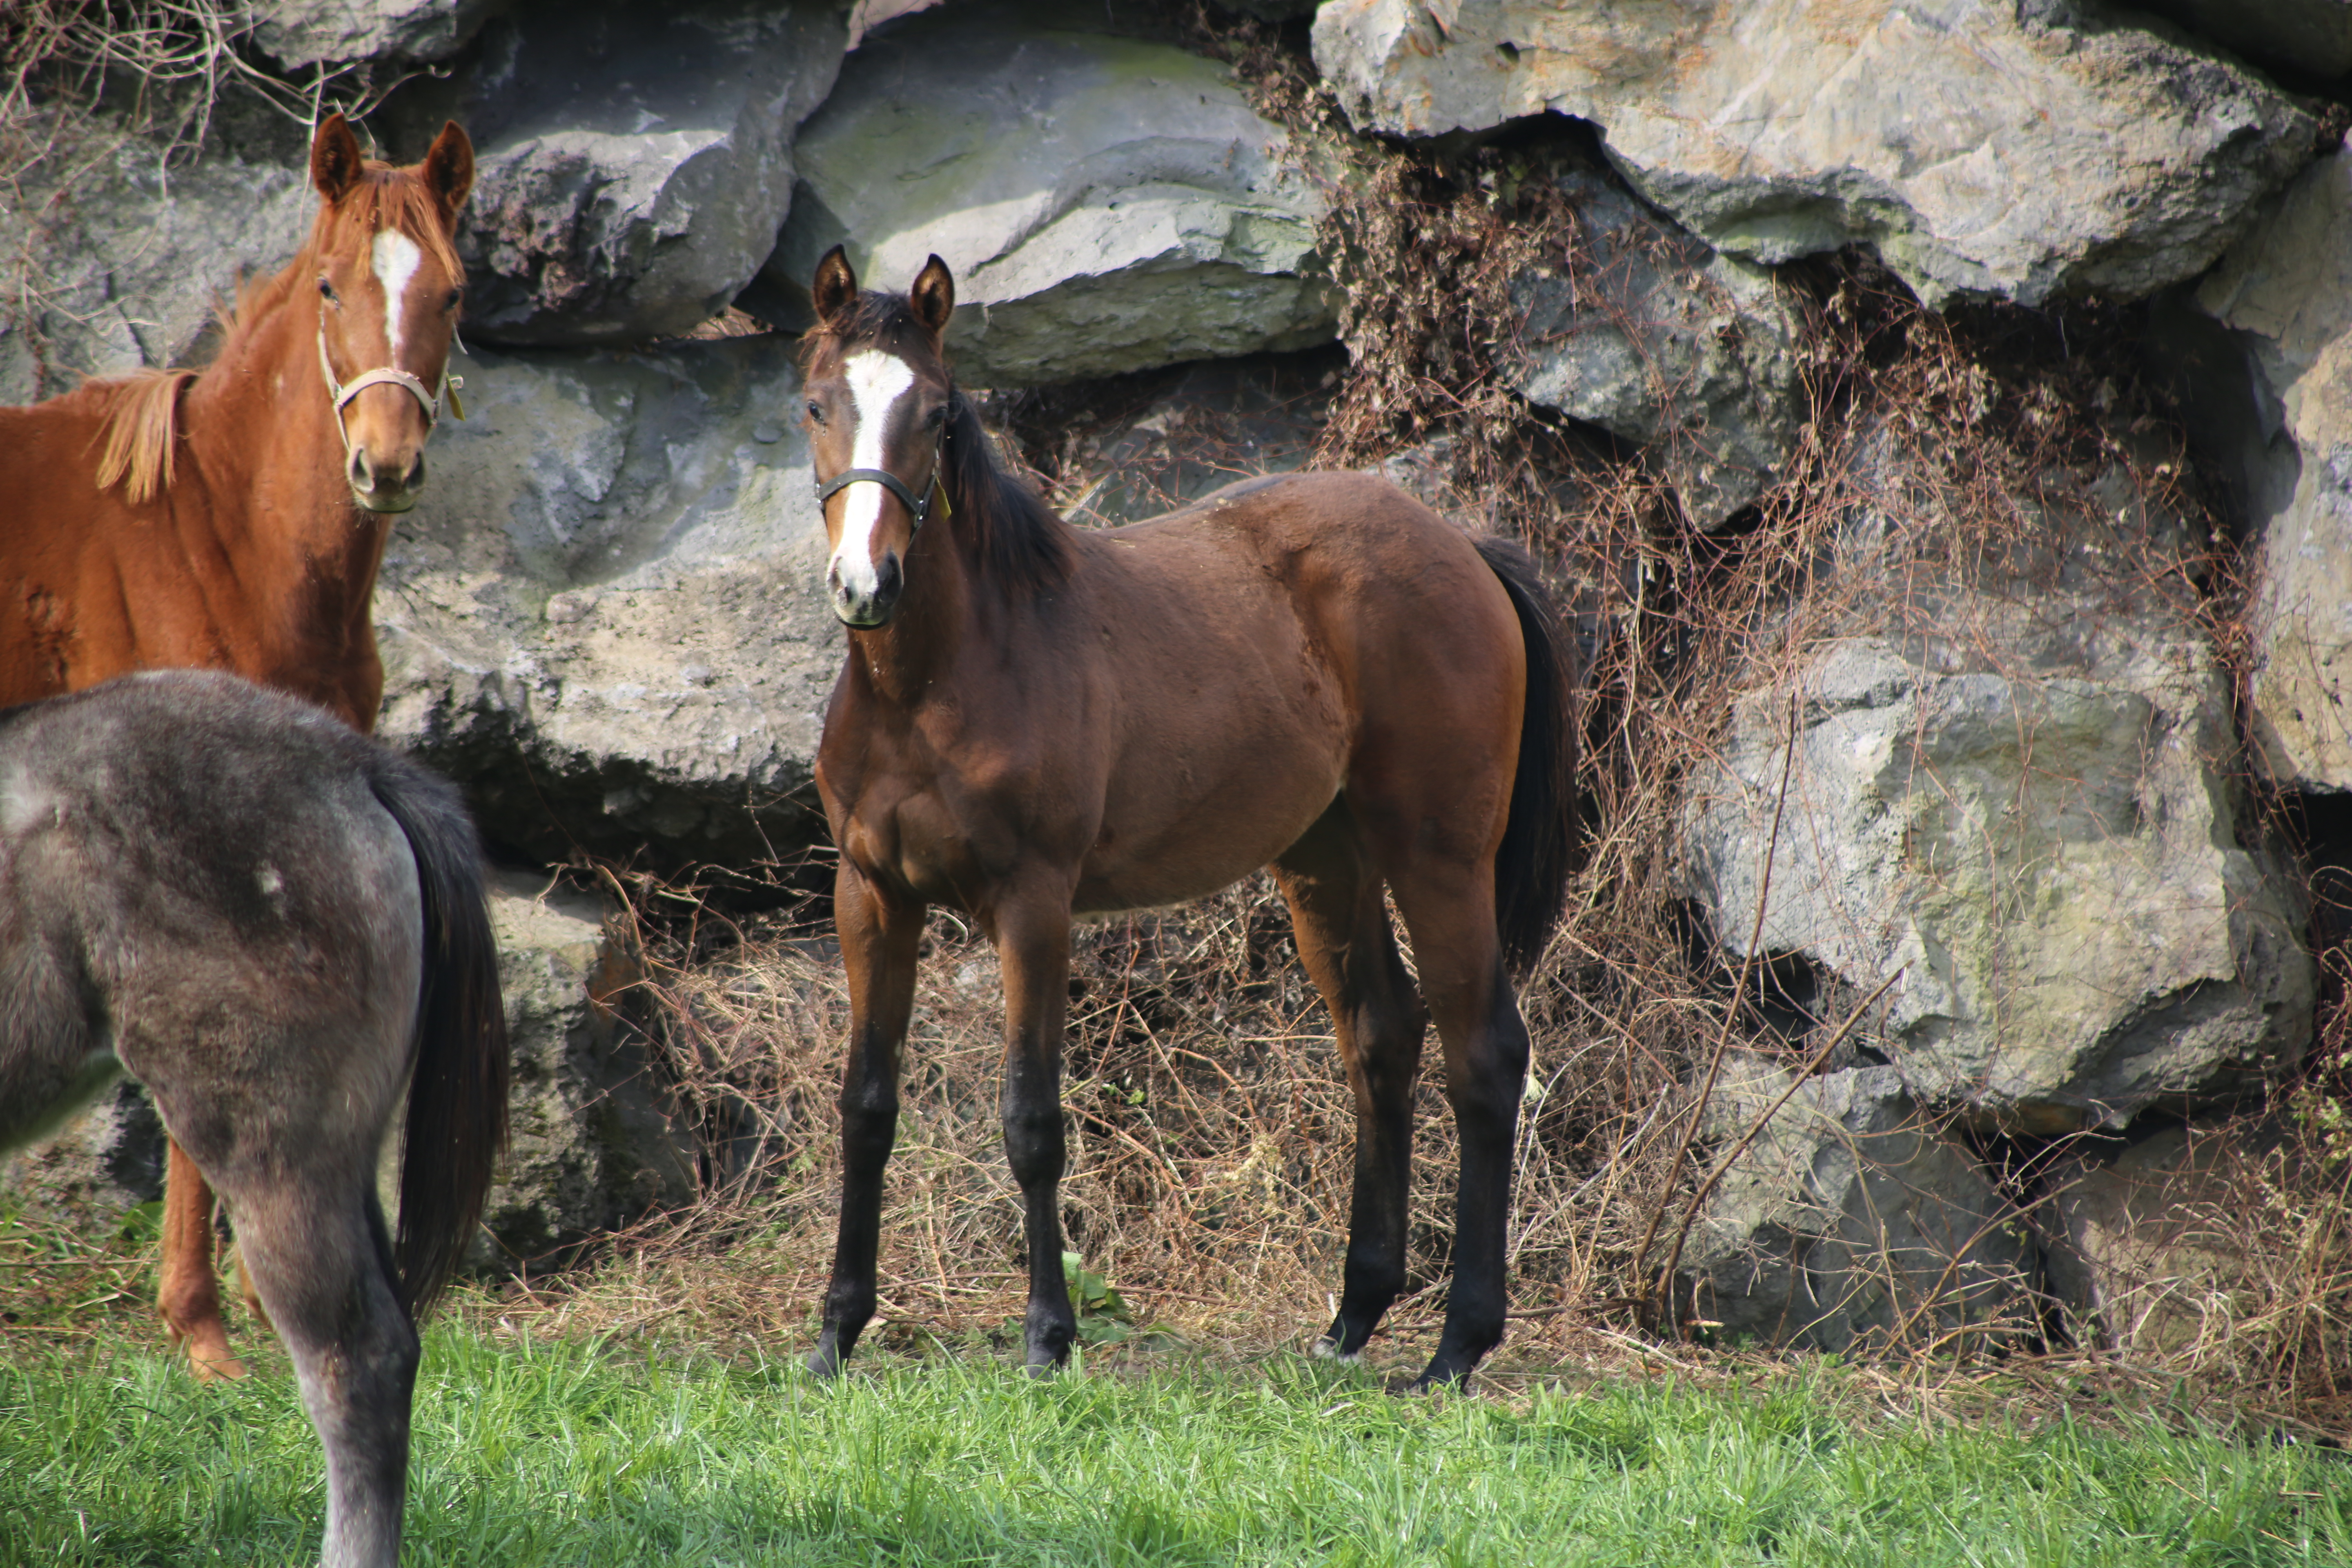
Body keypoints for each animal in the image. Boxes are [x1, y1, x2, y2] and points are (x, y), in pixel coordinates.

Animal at [800, 252, 1571, 1392]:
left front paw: (1048, 1335)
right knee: (1380, 1038)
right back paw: (1352, 1315)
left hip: (1440, 857)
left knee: (1485, 1055)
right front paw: (835, 1333)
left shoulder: (1033, 904)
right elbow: (865, 1107)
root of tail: (1464, 546)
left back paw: (1455, 1347)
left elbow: (1031, 1118)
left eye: (935, 415)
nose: (866, 583)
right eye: (818, 404)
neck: (932, 682)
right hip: (1325, 862)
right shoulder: (874, 895)